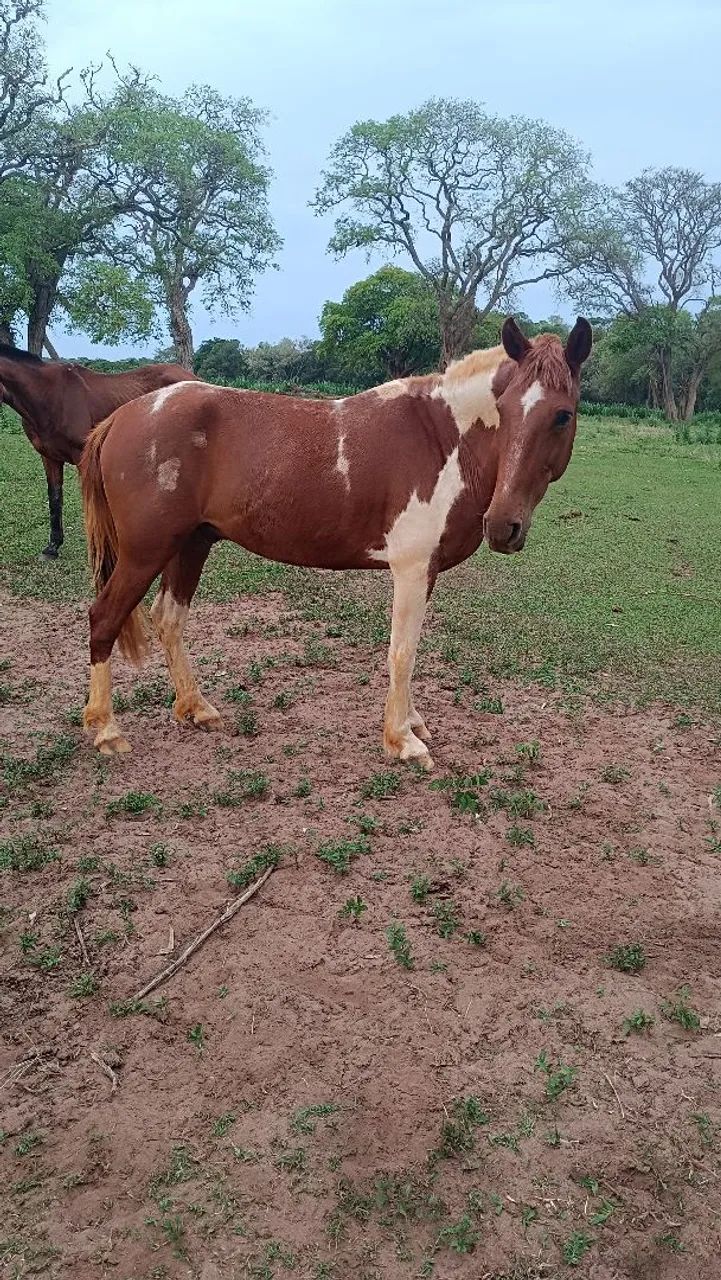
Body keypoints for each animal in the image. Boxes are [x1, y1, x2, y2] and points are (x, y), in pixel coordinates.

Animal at [79, 316, 592, 767]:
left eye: (562, 415)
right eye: (503, 409)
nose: (503, 526)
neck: (443, 439)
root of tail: (121, 418)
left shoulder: (424, 572)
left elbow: (410, 649)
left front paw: (412, 723)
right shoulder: (410, 568)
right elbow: (402, 651)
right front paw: (402, 741)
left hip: (191, 544)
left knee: (169, 619)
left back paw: (196, 708)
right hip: (145, 553)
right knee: (104, 619)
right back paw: (106, 730)